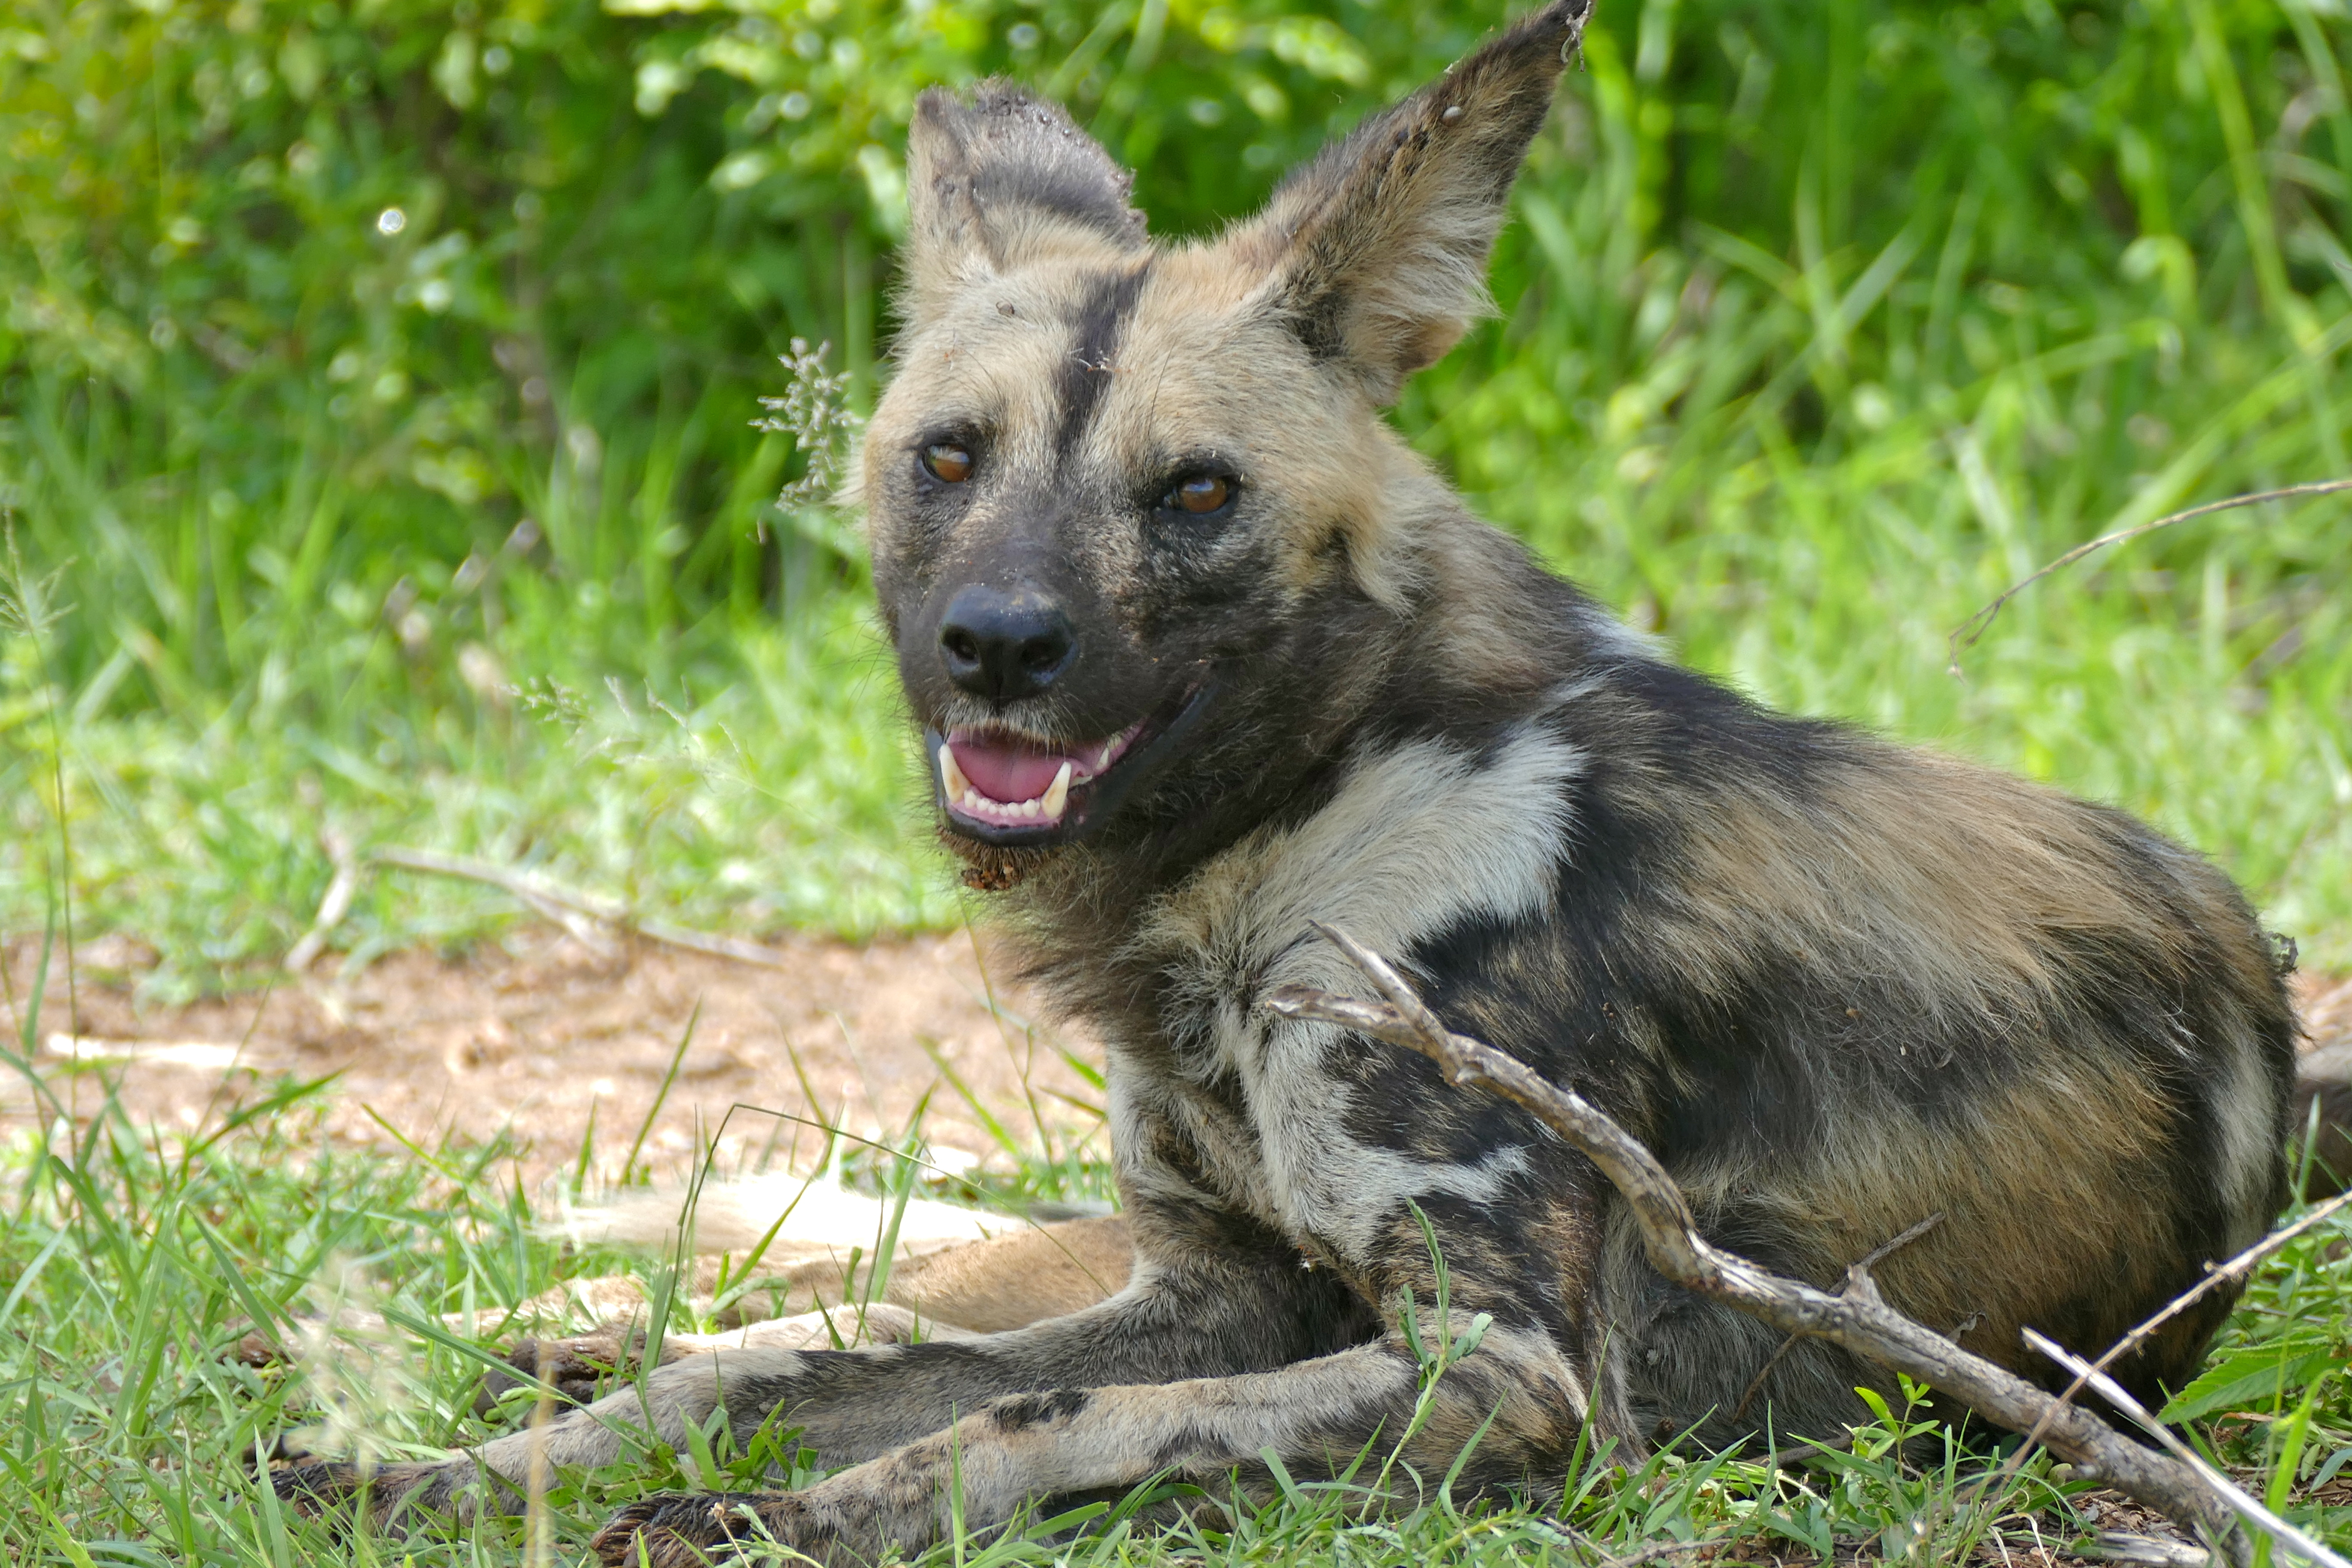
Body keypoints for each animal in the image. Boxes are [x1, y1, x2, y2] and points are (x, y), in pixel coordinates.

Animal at [275, 6, 2295, 1561]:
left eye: (1193, 492)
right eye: (945, 459)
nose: (996, 645)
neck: (1281, 830)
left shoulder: (1503, 1372)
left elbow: (1022, 1419)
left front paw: (789, 1516)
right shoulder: (1215, 1283)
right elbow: (753, 1374)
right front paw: (455, 1470)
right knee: (843, 1288)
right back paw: (535, 1335)